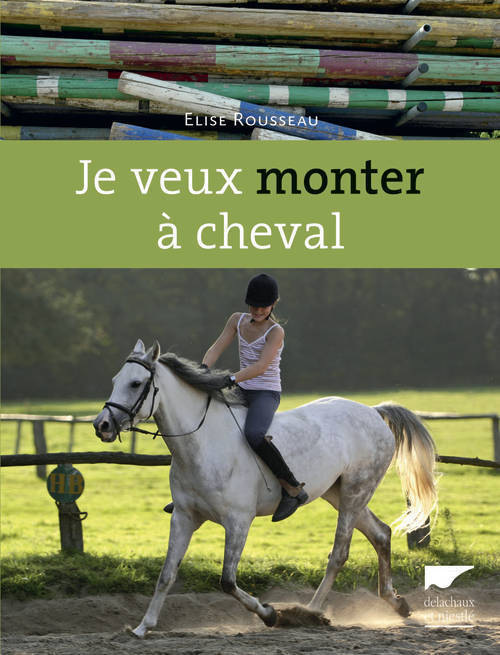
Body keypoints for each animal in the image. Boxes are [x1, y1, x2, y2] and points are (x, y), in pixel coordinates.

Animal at [93, 339, 438, 638]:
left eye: (136, 383)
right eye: (114, 379)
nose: (102, 425)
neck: (202, 444)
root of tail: (373, 411)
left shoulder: (238, 522)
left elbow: (227, 581)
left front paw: (271, 614)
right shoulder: (183, 517)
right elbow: (166, 574)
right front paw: (143, 627)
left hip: (356, 491)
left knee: (339, 553)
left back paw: (310, 611)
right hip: (337, 493)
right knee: (380, 533)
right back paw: (397, 603)